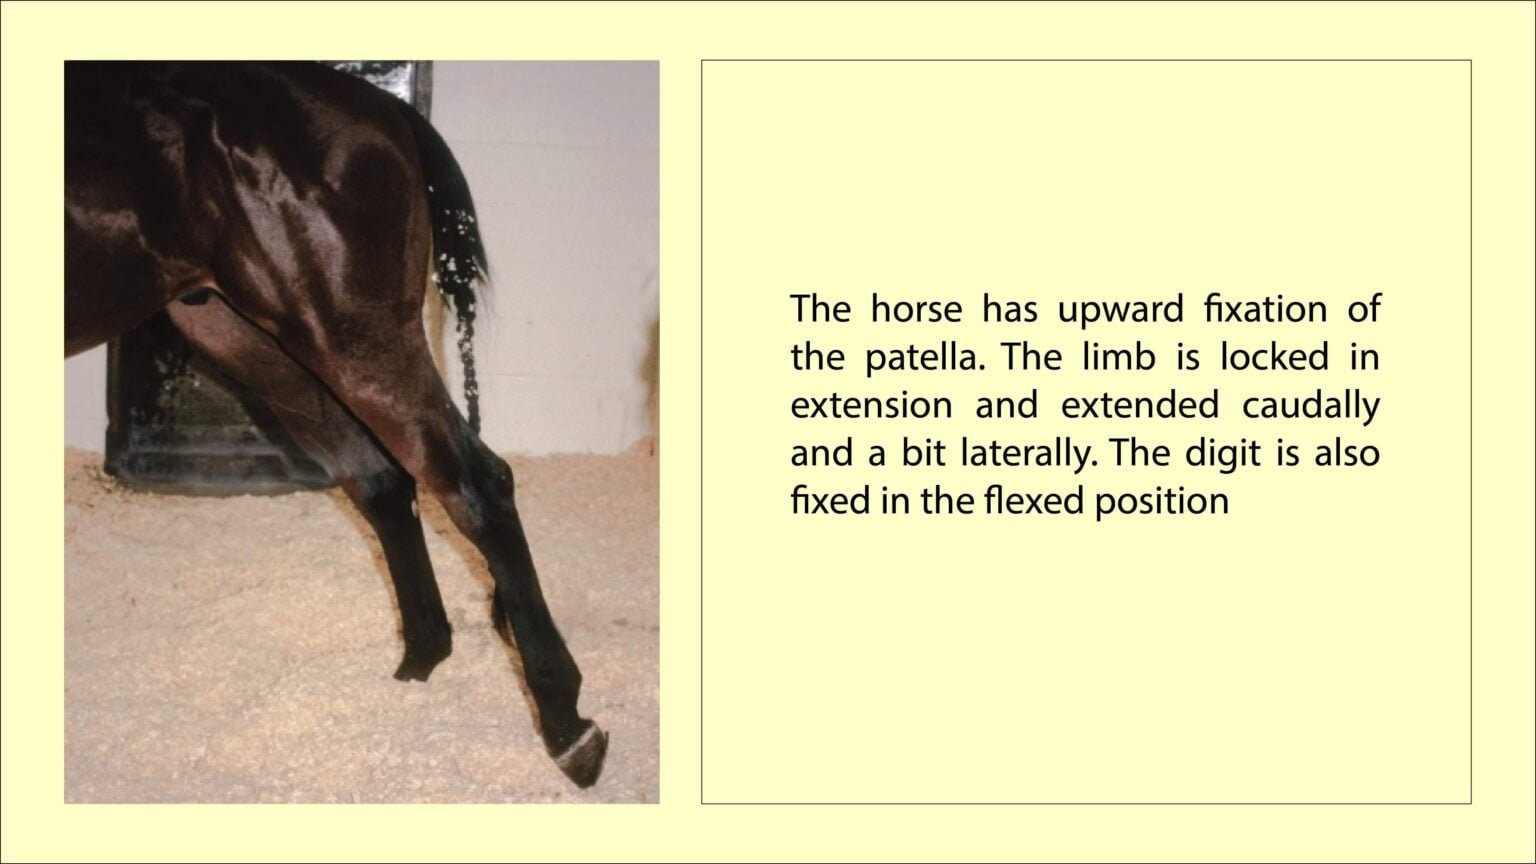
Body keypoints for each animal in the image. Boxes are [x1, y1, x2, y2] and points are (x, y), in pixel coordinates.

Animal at [64, 61, 607, 789]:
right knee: (381, 483)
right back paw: (419, 665)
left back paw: (565, 723)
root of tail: (386, 108)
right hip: (255, 339)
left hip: (347, 336)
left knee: (474, 484)